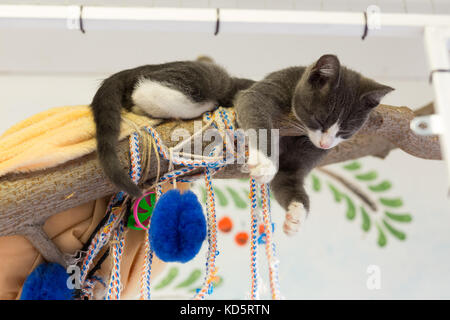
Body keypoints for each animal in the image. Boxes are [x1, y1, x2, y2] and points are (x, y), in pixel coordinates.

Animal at [236, 54, 394, 235]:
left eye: (346, 131)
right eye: (320, 120)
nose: (325, 144)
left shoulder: (306, 156)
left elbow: (287, 177)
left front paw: (297, 213)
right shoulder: (276, 82)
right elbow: (252, 101)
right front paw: (264, 161)